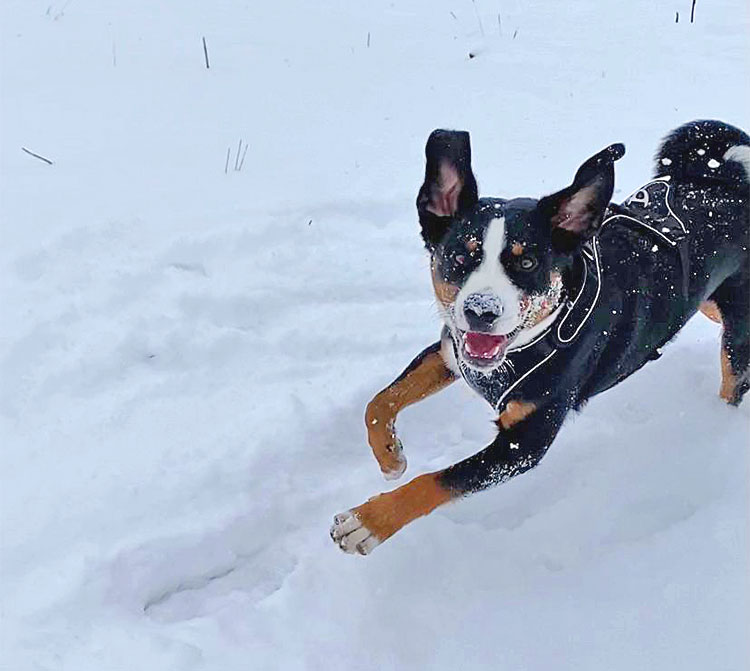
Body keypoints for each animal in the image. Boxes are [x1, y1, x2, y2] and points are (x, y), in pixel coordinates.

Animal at [332, 121, 750, 556]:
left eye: (528, 262)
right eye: (460, 256)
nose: (481, 311)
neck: (535, 339)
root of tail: (728, 184)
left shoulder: (525, 441)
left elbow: (436, 481)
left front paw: (367, 522)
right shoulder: (450, 352)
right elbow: (378, 403)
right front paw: (390, 457)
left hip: (737, 336)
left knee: (732, 380)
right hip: (708, 301)